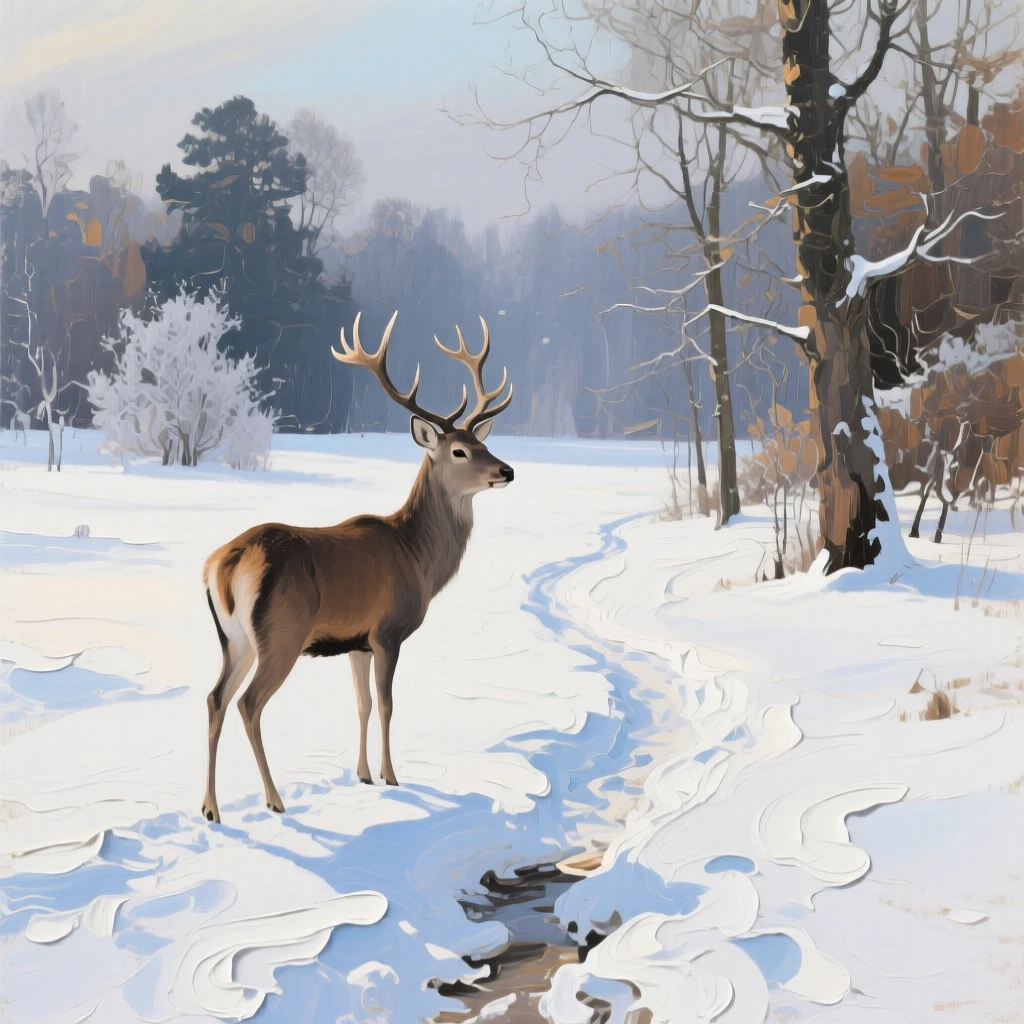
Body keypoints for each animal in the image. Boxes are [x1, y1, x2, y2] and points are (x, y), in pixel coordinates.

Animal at [200, 311, 514, 823]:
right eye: (459, 451)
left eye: (481, 443)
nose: (507, 470)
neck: (418, 555)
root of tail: (223, 566)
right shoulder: (388, 631)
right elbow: (387, 704)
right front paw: (391, 776)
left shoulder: (356, 642)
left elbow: (362, 703)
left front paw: (363, 774)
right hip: (281, 632)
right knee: (248, 703)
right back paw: (274, 798)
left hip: (234, 638)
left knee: (215, 698)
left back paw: (210, 808)